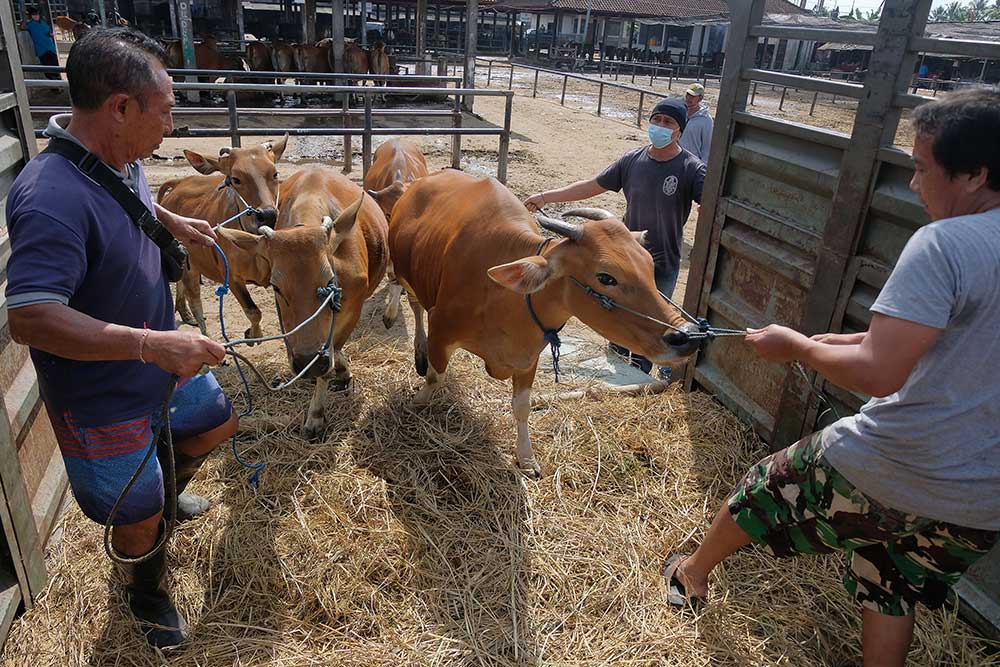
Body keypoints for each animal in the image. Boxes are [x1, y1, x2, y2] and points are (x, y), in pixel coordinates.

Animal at [156, 138, 288, 342]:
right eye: (236, 179)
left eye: (275, 173)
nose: (267, 215)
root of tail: (179, 183)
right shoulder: (231, 277)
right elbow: (253, 311)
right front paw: (252, 334)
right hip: (191, 266)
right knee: (195, 300)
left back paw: (184, 313)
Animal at [238, 166, 386, 438]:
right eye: (276, 287)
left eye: (330, 280)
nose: (307, 361)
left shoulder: (354, 306)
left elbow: (333, 350)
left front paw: (317, 412)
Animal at [386, 170, 700, 478]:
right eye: (606, 277)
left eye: (649, 266)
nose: (687, 335)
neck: (503, 296)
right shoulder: (441, 327)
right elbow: (434, 378)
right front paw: (417, 401)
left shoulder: (530, 356)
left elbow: (522, 406)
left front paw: (526, 458)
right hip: (405, 273)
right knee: (412, 303)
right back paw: (412, 340)